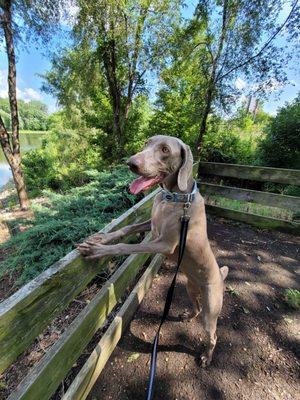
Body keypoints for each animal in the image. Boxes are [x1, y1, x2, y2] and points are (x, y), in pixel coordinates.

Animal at [77, 136, 227, 368]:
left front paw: (98, 250)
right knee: (197, 307)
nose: (131, 163)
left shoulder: (164, 243)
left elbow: (128, 246)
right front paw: (101, 238)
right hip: (190, 287)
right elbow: (128, 228)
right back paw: (188, 315)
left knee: (213, 334)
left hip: (212, 307)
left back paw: (206, 357)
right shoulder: (151, 225)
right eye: (147, 143)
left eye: (165, 150)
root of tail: (220, 276)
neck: (173, 197)